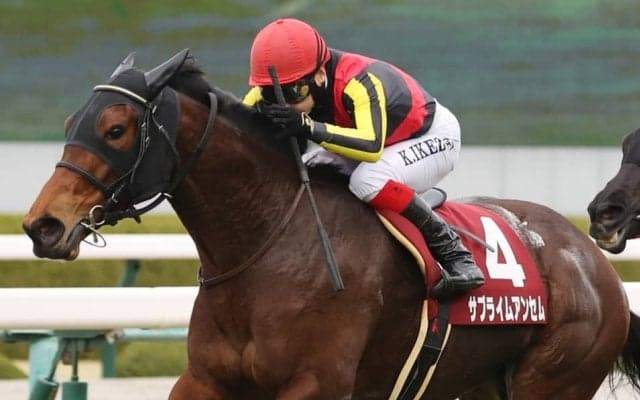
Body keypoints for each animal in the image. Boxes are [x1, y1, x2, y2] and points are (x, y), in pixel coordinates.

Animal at [22, 49, 640, 399]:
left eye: (116, 128)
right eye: (70, 122)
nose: (42, 226)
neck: (266, 244)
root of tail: (589, 258)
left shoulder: (315, 383)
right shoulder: (205, 379)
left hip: (554, 380)